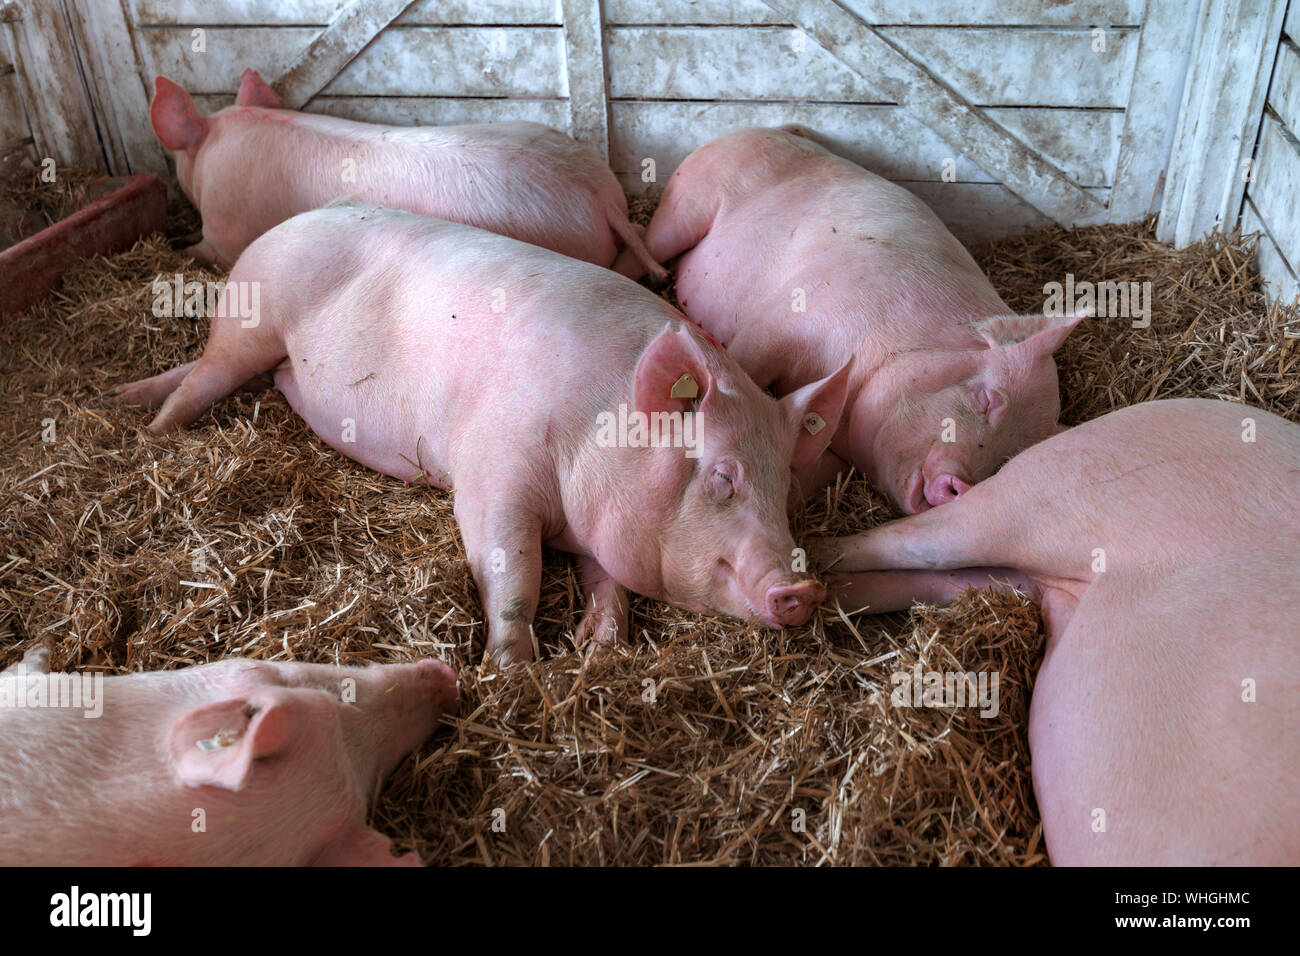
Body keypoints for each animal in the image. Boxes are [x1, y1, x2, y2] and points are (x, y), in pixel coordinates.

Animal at [114, 204, 852, 660]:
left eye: (787, 491)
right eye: (724, 475)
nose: (806, 590)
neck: (595, 428)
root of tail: (287, 223)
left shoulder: (598, 527)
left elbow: (608, 585)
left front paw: (598, 647)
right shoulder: (490, 472)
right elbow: (513, 569)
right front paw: (513, 669)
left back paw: (125, 397)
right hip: (251, 321)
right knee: (202, 379)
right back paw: (150, 429)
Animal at [634, 127, 1081, 515]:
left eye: (1007, 459)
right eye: (986, 399)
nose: (962, 487)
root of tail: (772, 128)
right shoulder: (779, 321)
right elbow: (744, 365)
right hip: (689, 198)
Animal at [811, 395, 1300, 868]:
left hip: (1024, 567)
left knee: (928, 573)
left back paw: (822, 595)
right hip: (1052, 487)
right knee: (904, 538)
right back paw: (808, 567)